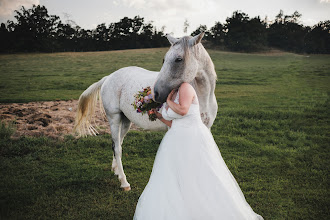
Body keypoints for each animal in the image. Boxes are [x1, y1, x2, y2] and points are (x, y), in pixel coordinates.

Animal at [74, 32, 218, 191]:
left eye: (178, 59)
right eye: (164, 59)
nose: (156, 93)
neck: (202, 96)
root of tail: (108, 77)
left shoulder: (206, 128)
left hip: (125, 121)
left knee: (118, 143)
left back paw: (116, 170)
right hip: (114, 118)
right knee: (116, 147)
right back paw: (124, 182)